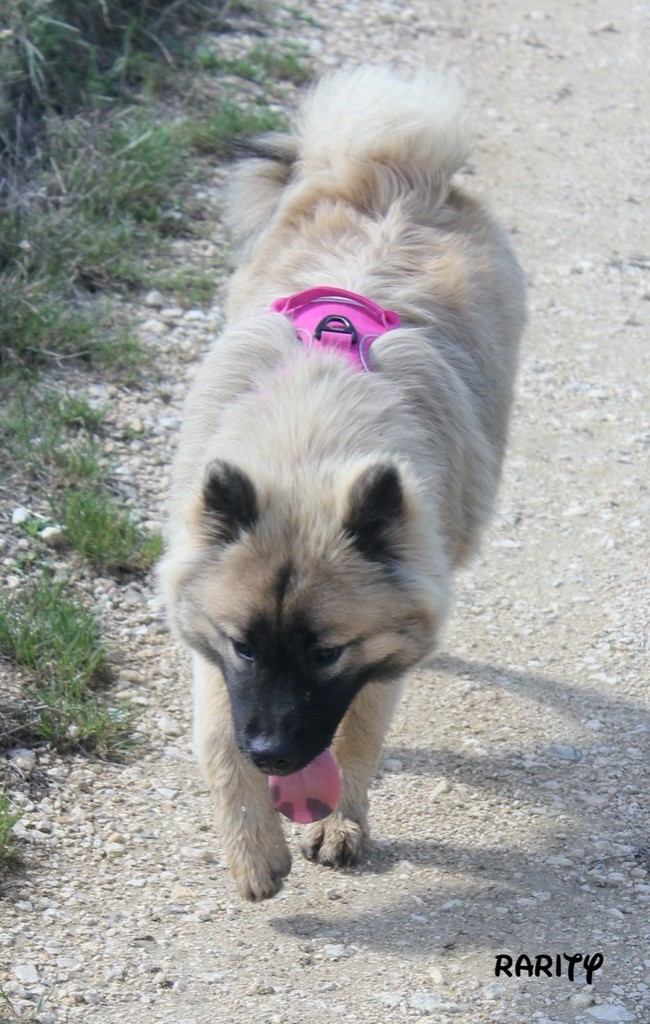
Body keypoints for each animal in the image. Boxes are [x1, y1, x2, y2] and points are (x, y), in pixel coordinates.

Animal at [160, 65, 526, 901]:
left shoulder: (377, 651)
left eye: (326, 653)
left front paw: (338, 822)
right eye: (245, 646)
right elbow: (214, 736)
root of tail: (395, 166)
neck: (307, 447)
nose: (270, 753)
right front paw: (253, 846)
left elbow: (359, 728)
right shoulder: (214, 657)